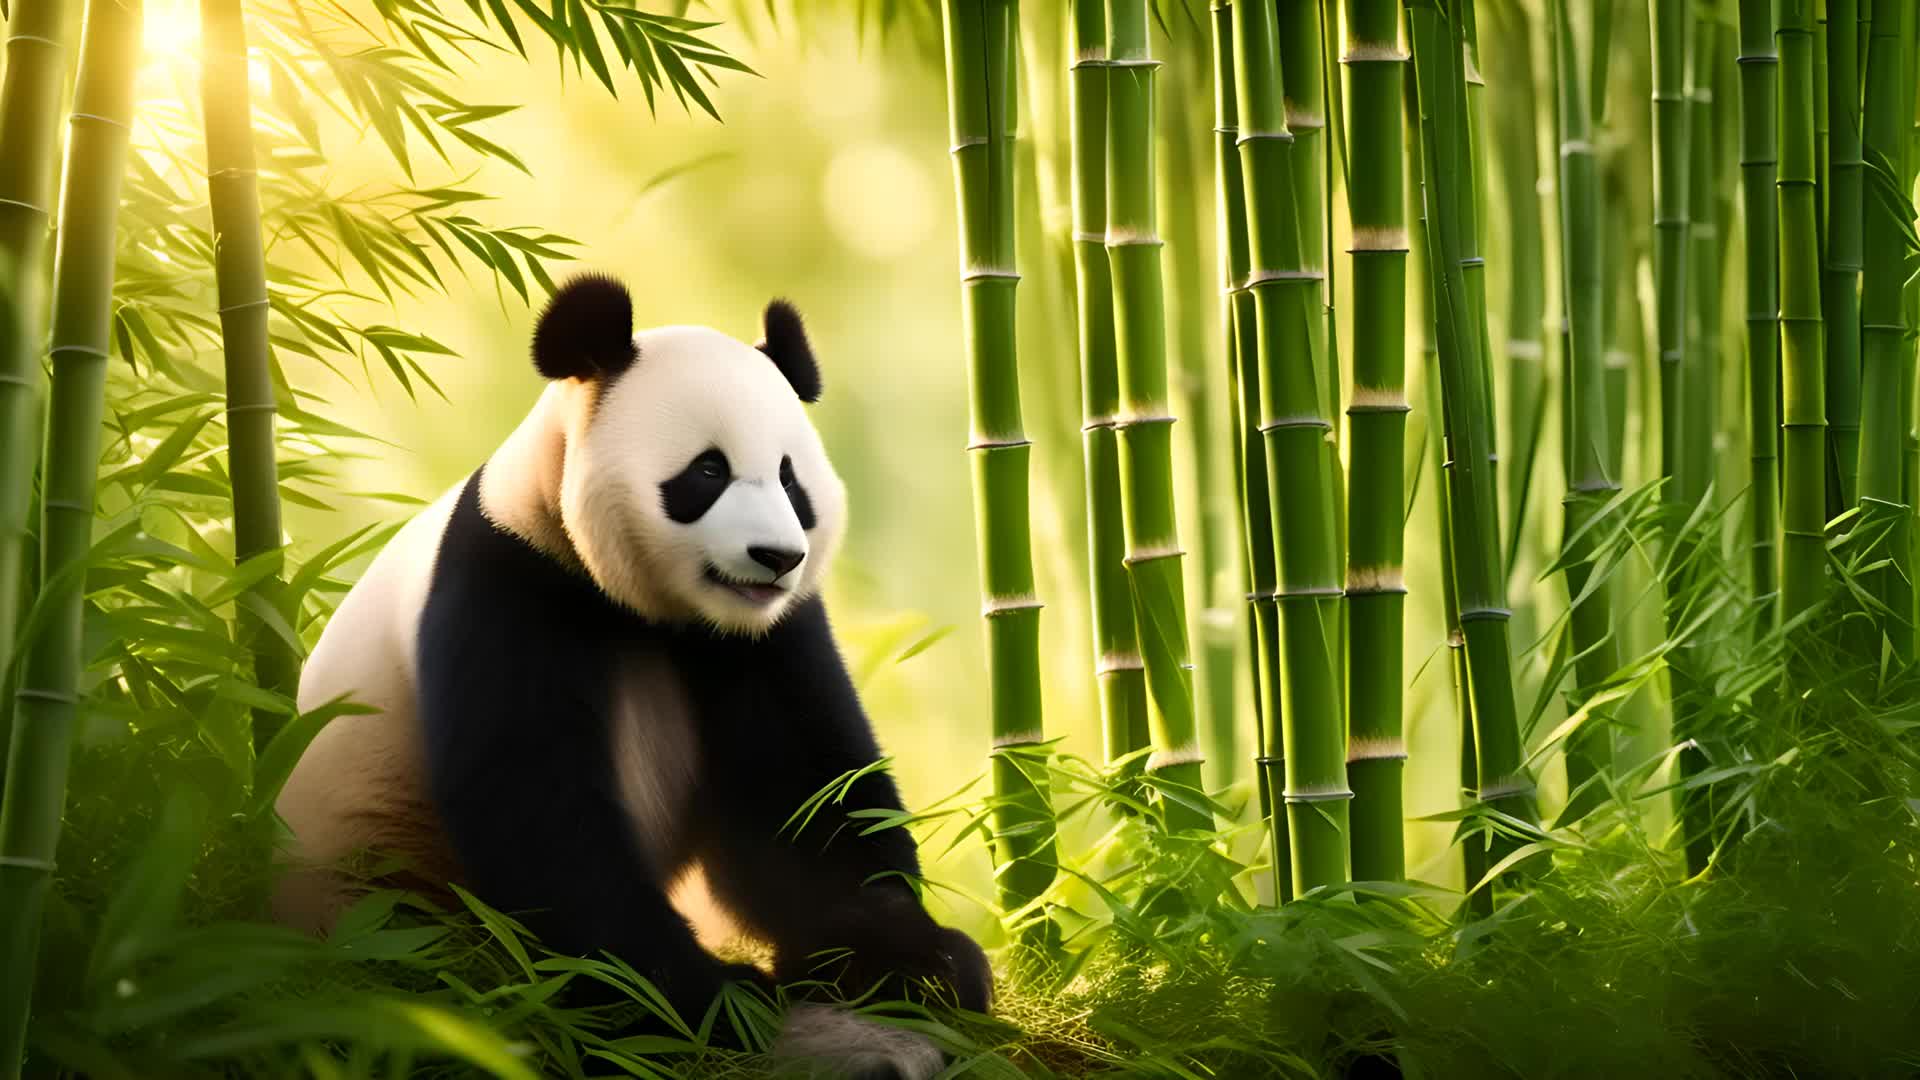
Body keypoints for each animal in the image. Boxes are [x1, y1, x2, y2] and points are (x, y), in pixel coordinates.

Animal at [272, 272, 991, 1079]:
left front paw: (918, 965)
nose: (777, 558)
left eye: (790, 479)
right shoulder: (508, 583)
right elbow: (544, 819)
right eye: (708, 471)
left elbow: (806, 799)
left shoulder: (761, 637)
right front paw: (708, 999)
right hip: (371, 879)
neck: (646, 609)